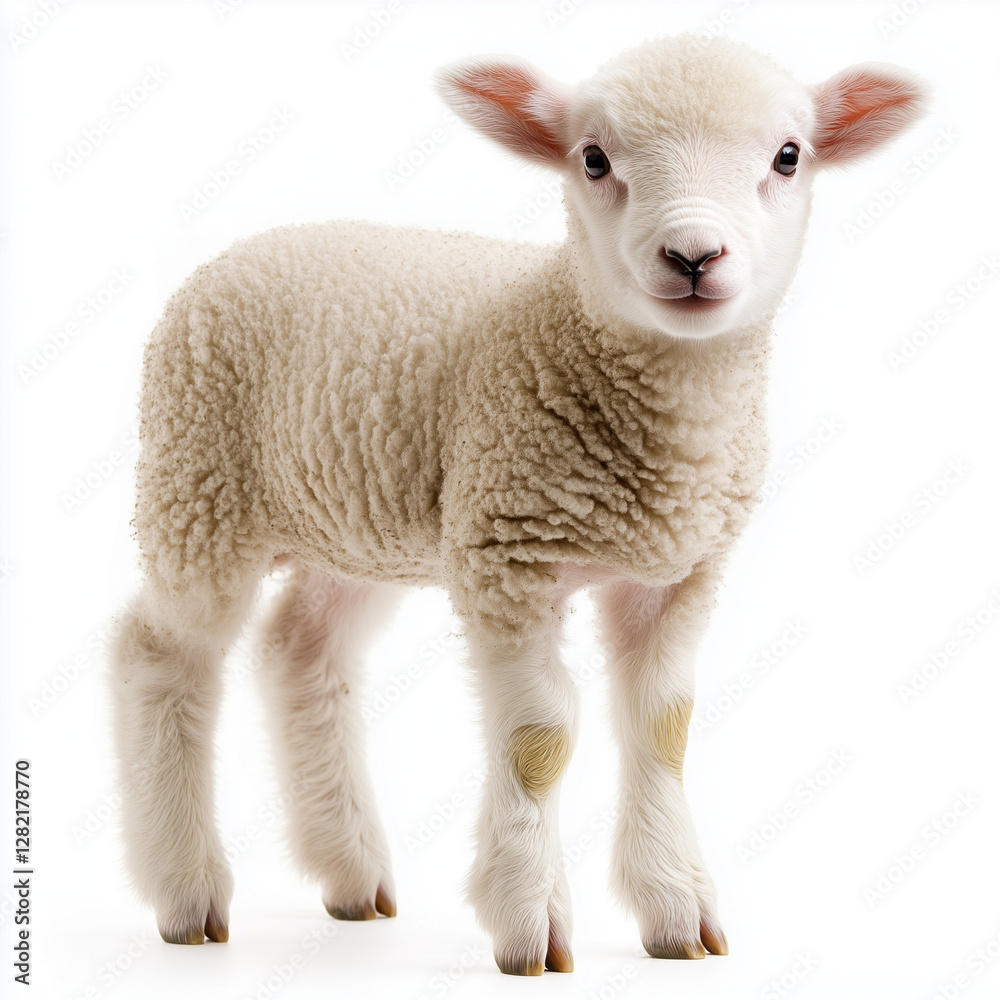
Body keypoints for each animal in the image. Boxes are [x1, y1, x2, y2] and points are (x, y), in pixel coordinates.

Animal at [110, 34, 927, 975]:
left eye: (788, 157)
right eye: (595, 159)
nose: (693, 257)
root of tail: (247, 246)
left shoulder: (679, 572)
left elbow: (664, 729)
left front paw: (675, 910)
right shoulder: (508, 557)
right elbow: (539, 742)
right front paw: (529, 922)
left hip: (355, 523)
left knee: (301, 650)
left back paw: (349, 872)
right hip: (198, 487)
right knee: (159, 654)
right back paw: (185, 891)